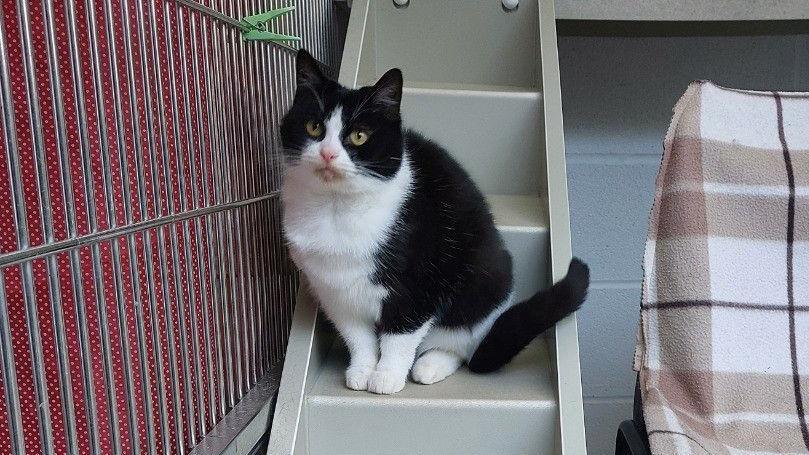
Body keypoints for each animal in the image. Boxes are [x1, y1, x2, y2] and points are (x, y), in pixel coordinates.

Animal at [278, 50, 588, 396]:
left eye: (359, 136)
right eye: (313, 127)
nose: (328, 154)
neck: (336, 210)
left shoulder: (422, 283)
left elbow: (399, 336)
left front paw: (386, 376)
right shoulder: (335, 293)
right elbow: (358, 337)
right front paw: (362, 370)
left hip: (484, 279)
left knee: (462, 343)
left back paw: (431, 365)